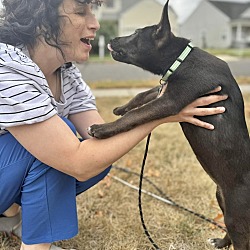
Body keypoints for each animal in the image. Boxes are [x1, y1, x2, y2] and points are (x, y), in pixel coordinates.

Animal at [89, 0, 250, 249]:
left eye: (136, 33)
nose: (111, 39)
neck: (180, 59)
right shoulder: (164, 89)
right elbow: (142, 95)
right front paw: (121, 108)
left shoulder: (172, 100)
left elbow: (137, 114)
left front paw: (103, 128)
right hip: (220, 197)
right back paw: (220, 242)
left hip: (236, 215)